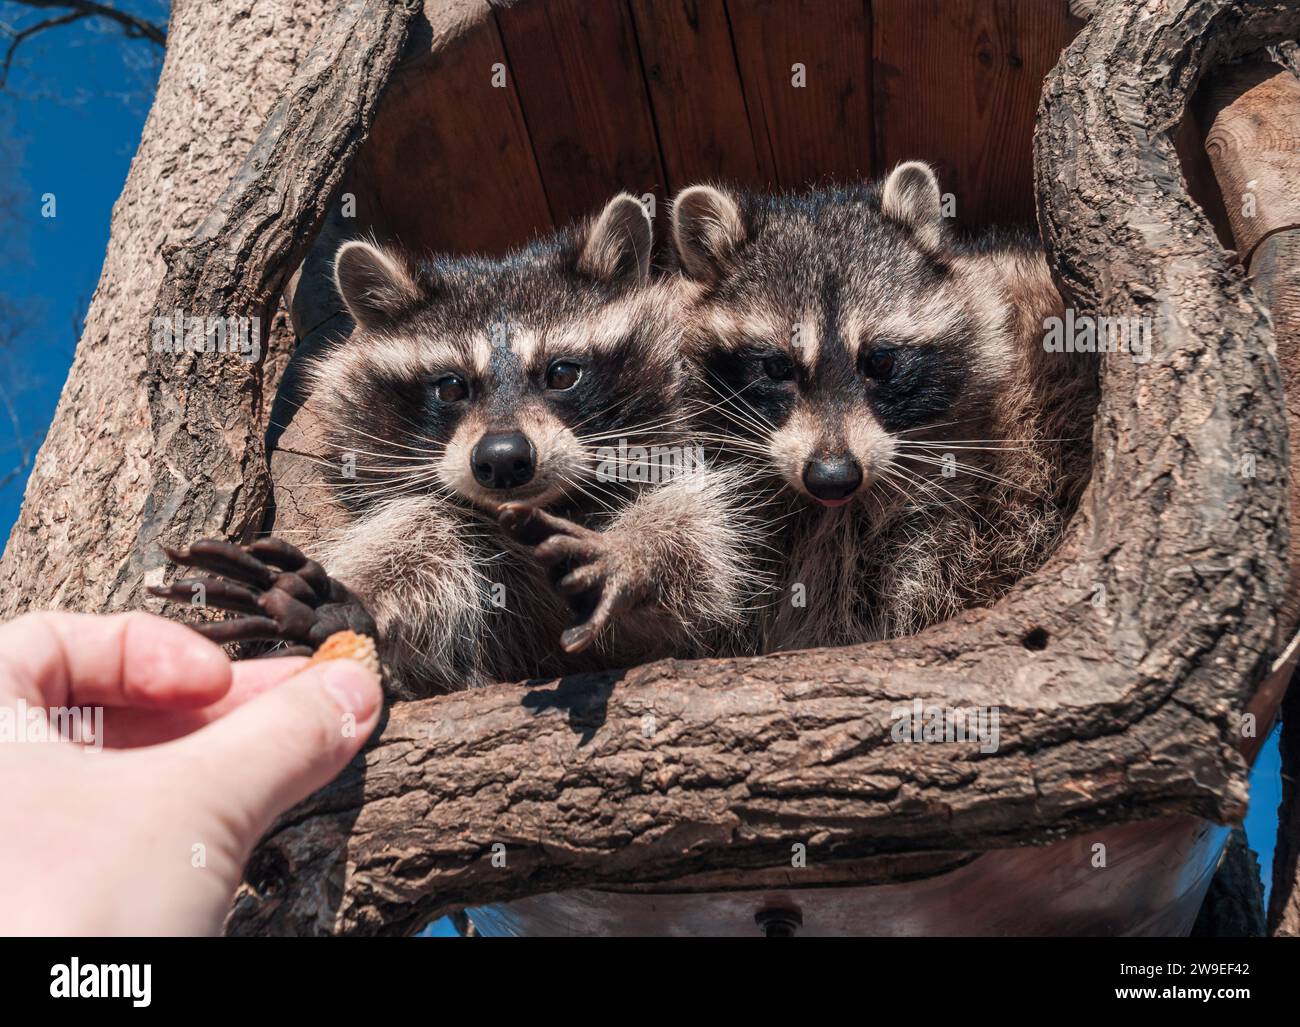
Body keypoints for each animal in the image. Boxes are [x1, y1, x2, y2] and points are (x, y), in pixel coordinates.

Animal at [149, 191, 759, 702]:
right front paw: (349, 604)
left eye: (562, 374)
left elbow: (697, 538)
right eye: (450, 387)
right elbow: (415, 538)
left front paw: (636, 554)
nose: (504, 459)